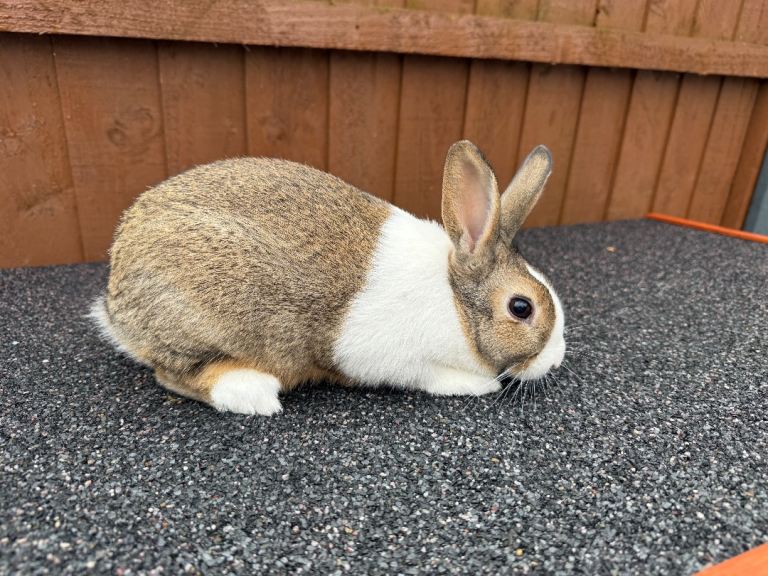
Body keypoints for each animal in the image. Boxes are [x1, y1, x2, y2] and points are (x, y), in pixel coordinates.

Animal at [90, 140, 565, 415]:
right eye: (521, 307)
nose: (557, 360)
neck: (454, 303)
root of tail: (115, 306)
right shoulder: (392, 358)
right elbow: (431, 377)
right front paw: (478, 385)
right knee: (173, 375)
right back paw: (253, 392)